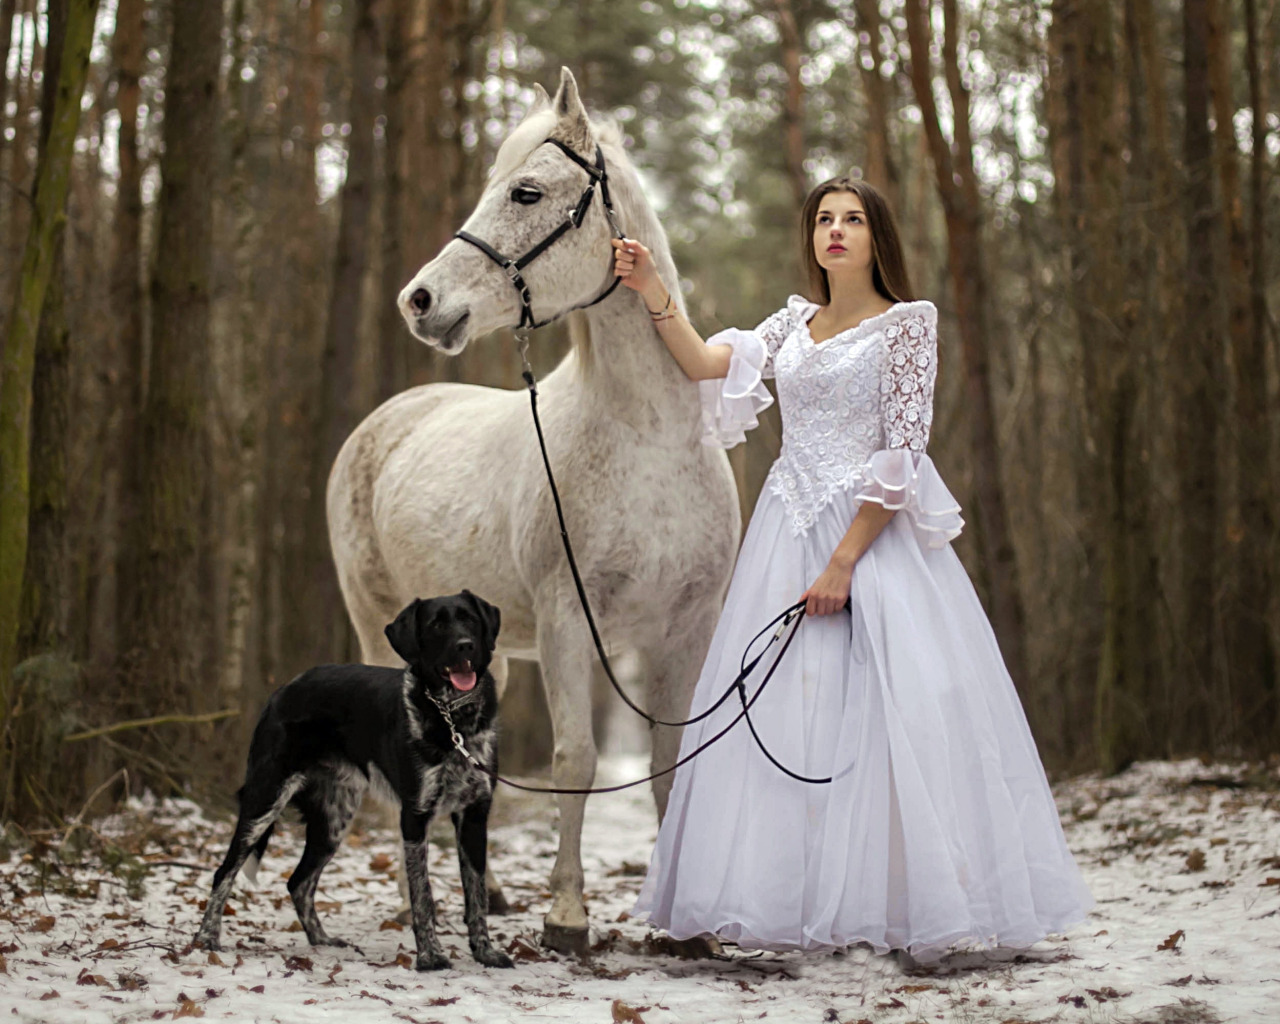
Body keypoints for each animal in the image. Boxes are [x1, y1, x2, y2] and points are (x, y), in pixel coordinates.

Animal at [192, 591, 512, 967]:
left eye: (470, 620)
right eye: (436, 625)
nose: (465, 646)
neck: (451, 717)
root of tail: (282, 690)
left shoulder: (475, 815)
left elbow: (477, 895)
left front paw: (485, 951)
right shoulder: (415, 816)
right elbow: (423, 895)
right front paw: (430, 956)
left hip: (333, 820)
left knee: (298, 882)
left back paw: (322, 940)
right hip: (264, 800)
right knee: (224, 871)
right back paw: (206, 938)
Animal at [327, 70, 742, 952]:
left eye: (526, 191)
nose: (419, 300)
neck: (646, 439)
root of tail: (391, 417)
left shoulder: (686, 626)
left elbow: (669, 759)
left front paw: (680, 927)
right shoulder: (565, 623)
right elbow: (575, 760)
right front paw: (567, 917)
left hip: (485, 656)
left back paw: (487, 891)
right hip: (377, 621)